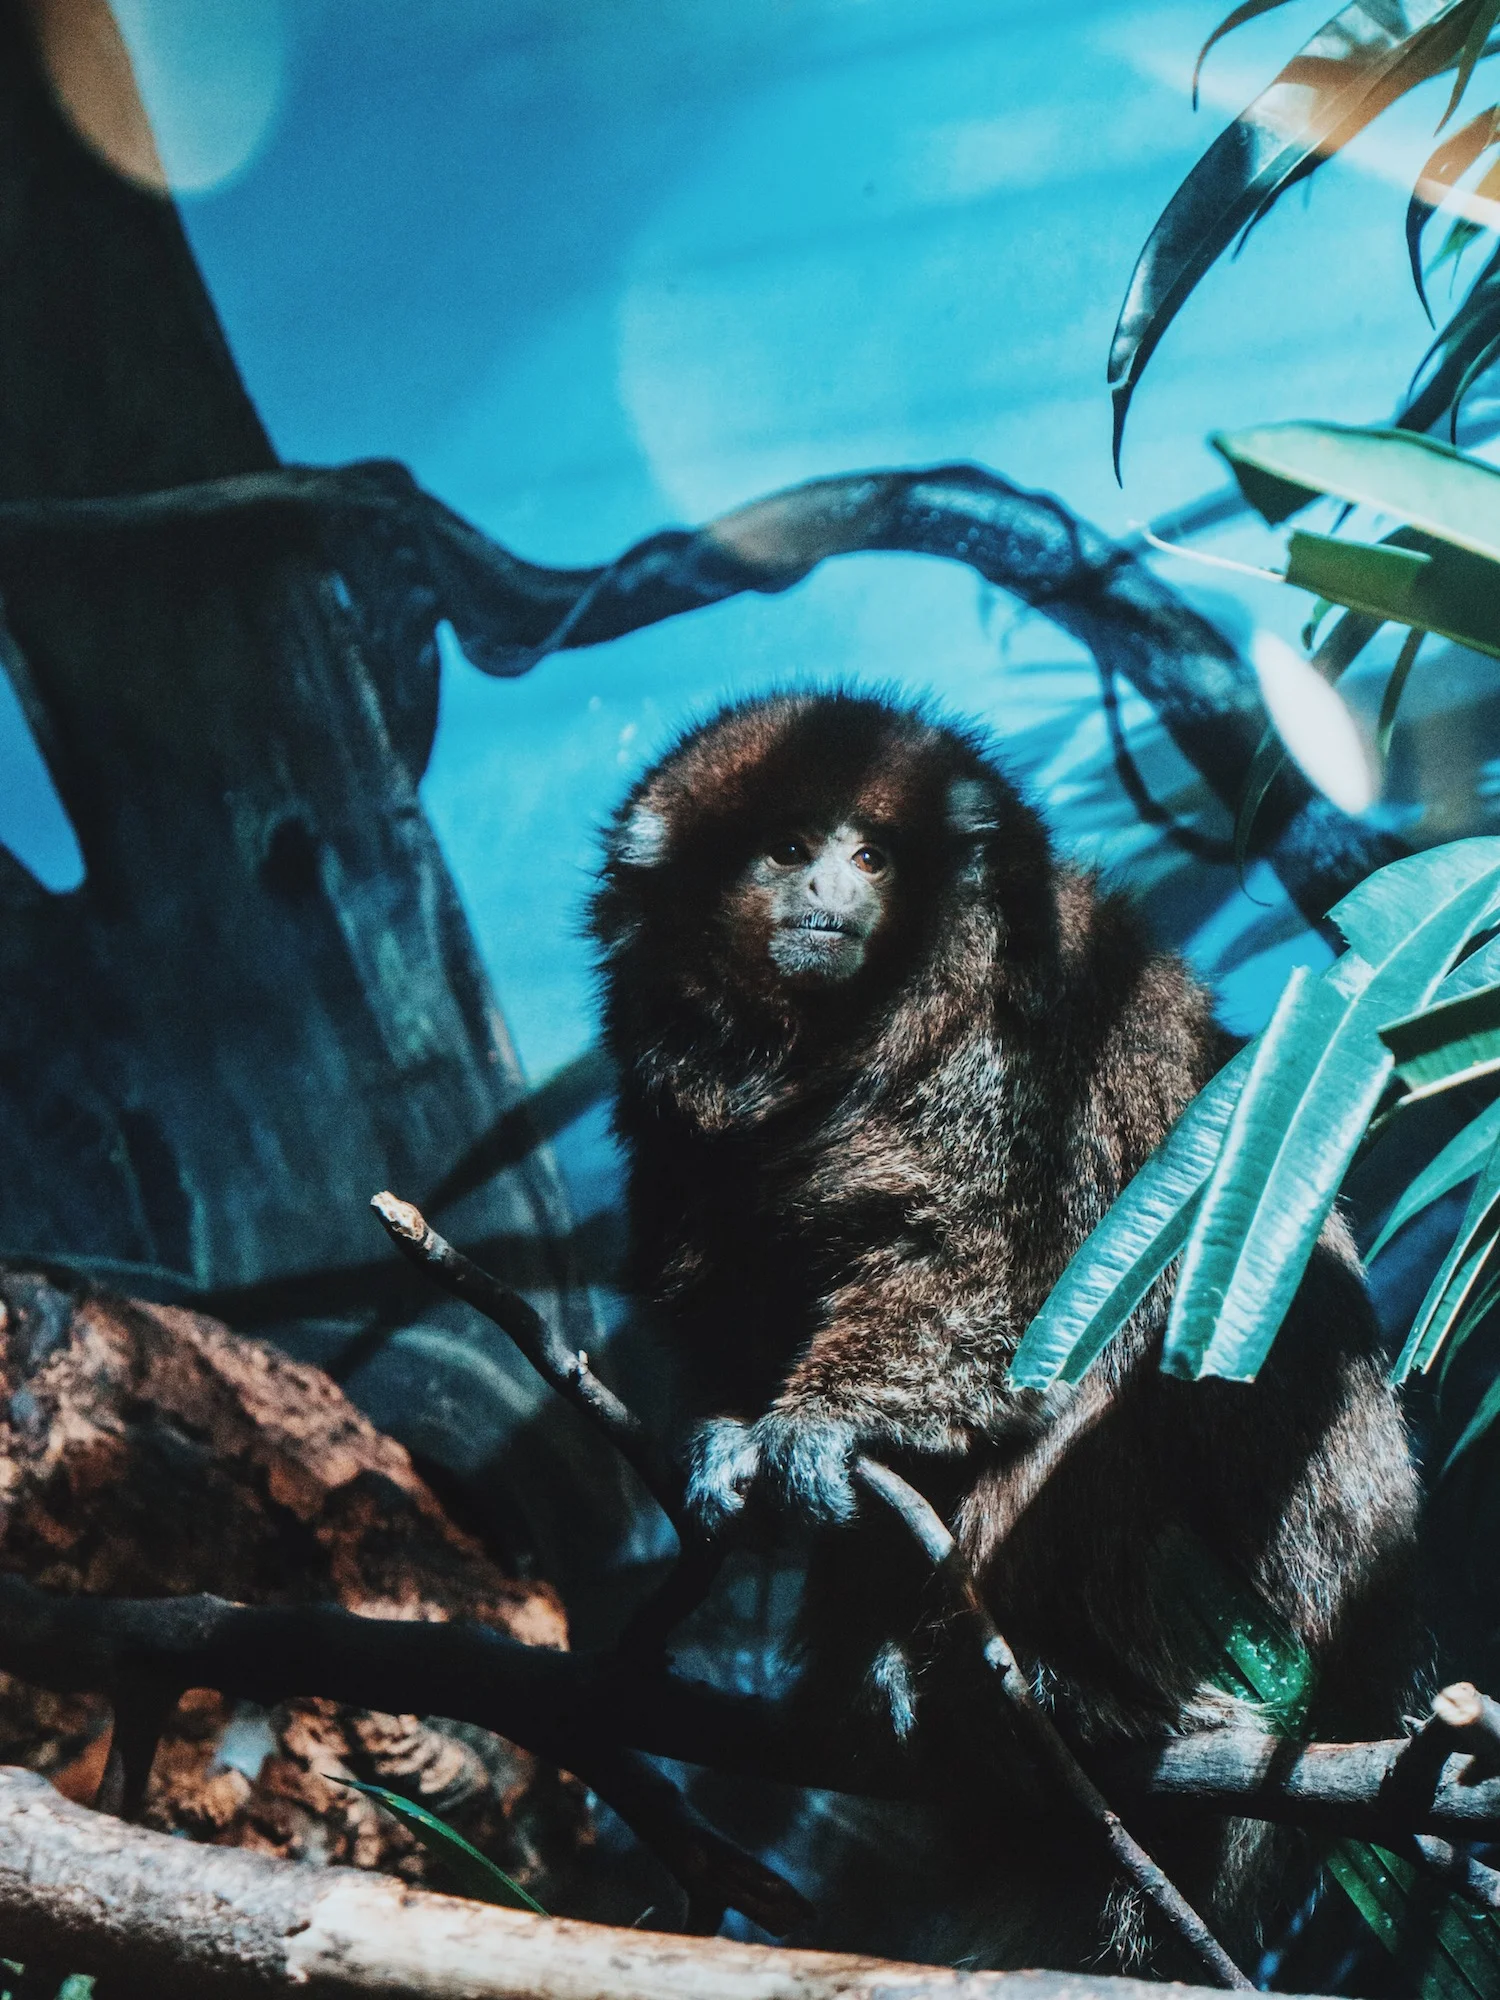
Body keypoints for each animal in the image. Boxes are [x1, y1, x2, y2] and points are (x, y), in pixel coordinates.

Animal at [590, 688, 1420, 1972]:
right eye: (788, 845)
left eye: (873, 857)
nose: (828, 891)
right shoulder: (667, 1096)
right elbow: (730, 1293)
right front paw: (730, 1438)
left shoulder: (1015, 1048)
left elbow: (1016, 1271)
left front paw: (821, 1426)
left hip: (1258, 1606)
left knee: (1121, 1373)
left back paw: (1076, 1692)